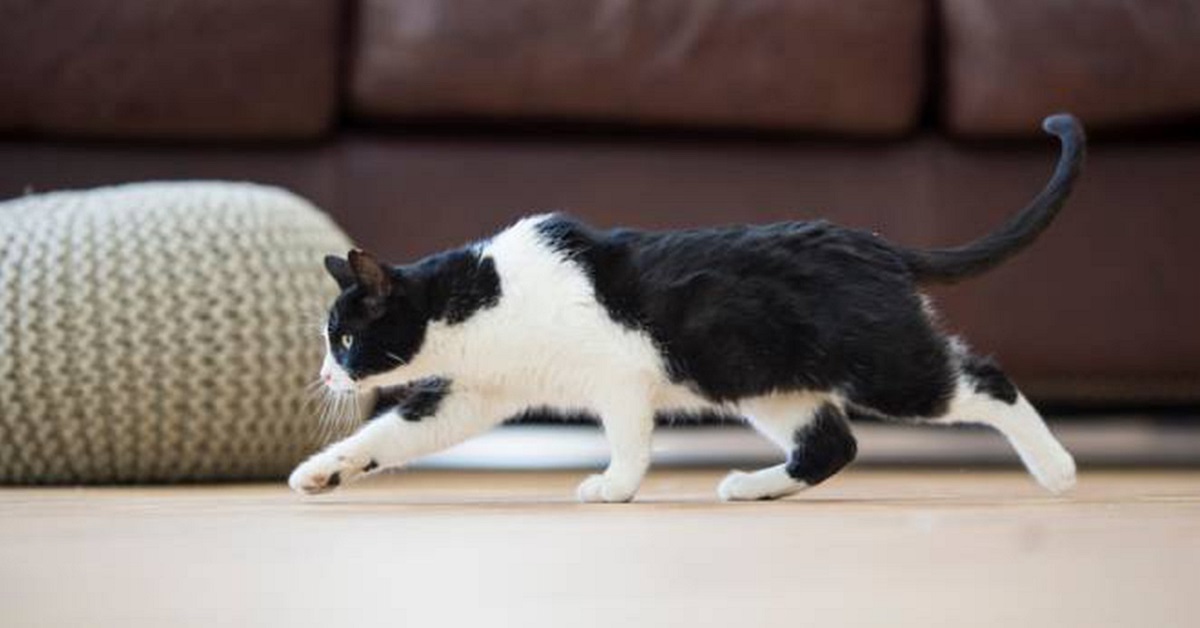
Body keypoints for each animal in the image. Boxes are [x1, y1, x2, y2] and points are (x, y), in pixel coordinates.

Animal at [292, 114, 1089, 501]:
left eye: (344, 339)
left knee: (986, 381)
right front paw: (322, 472)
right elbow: (393, 435)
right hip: (765, 382)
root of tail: (879, 244)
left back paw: (1056, 469)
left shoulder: (618, 376)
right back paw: (751, 488)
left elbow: (630, 438)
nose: (327, 377)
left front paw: (613, 488)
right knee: (832, 444)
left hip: (885, 364)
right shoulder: (473, 394)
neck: (487, 299)